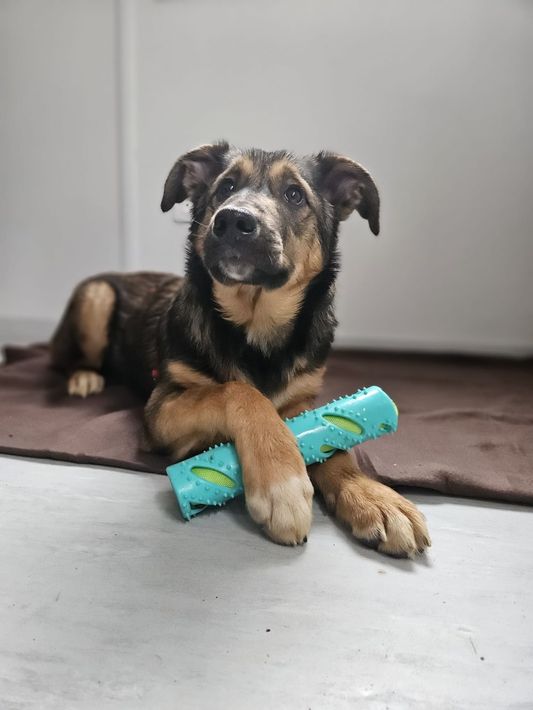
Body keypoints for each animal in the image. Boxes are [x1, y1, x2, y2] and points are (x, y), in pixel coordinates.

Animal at [51, 142, 430, 556]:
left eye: (294, 194)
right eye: (226, 187)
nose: (232, 220)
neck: (257, 328)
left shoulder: (303, 400)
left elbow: (337, 444)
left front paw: (372, 496)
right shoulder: (161, 407)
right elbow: (239, 392)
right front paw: (281, 479)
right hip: (97, 295)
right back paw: (84, 377)